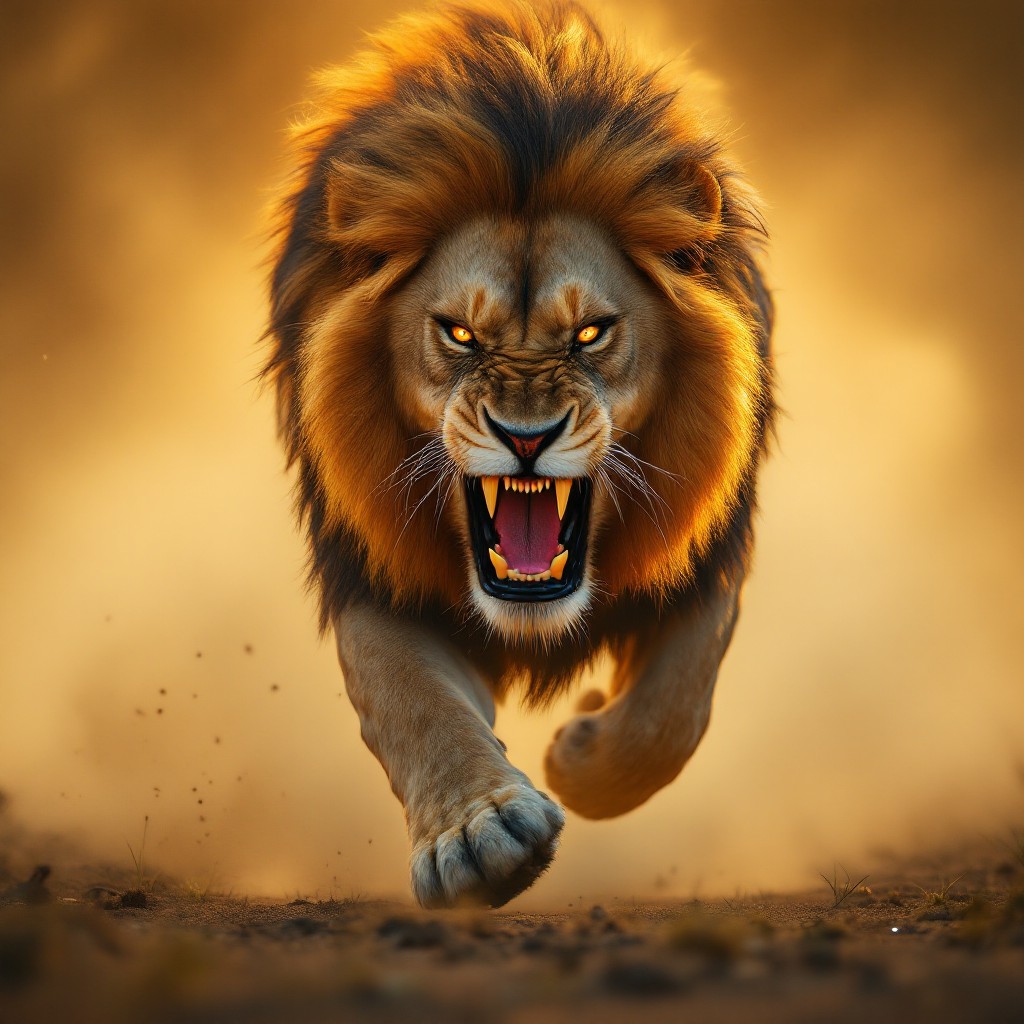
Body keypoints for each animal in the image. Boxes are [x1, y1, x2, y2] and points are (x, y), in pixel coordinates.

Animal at [265, 0, 774, 908]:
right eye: (460, 334)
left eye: (591, 334)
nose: (526, 437)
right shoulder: (371, 573)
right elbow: (411, 701)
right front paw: (477, 836)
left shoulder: (710, 555)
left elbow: (673, 709)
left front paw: (584, 756)